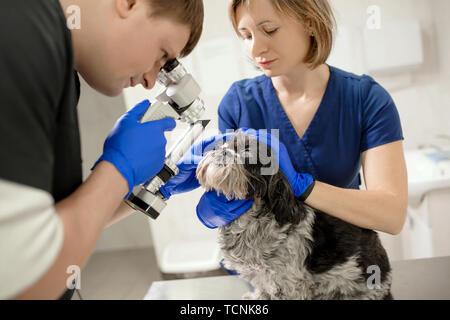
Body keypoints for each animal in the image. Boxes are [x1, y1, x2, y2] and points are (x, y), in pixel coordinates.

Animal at [195, 130, 392, 300]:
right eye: (219, 146)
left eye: (246, 150)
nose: (223, 151)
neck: (250, 223)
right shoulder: (261, 278)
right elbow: (262, 290)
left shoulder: (288, 284)